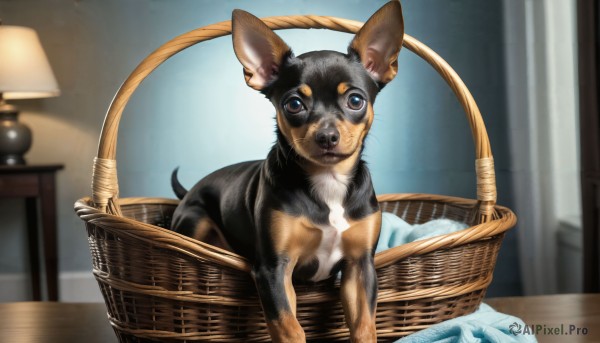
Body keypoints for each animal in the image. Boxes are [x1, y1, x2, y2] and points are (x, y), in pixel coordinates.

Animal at [170, 2, 404, 342]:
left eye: (355, 100)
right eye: (294, 104)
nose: (327, 136)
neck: (328, 181)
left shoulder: (360, 267)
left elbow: (364, 326)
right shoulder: (274, 269)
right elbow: (289, 326)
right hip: (195, 219)